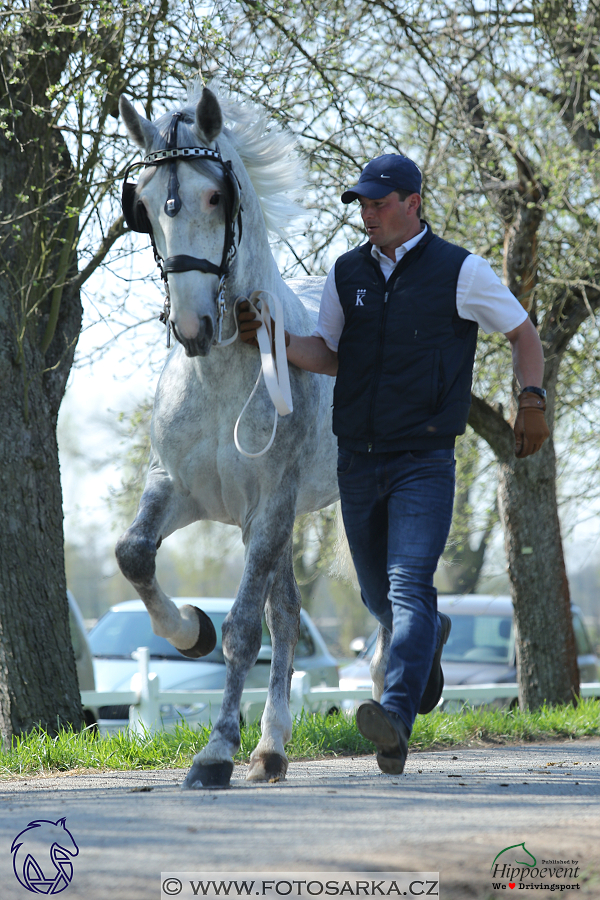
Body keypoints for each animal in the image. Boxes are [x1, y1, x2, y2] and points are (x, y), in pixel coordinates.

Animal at [116, 84, 342, 788]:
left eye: (216, 196)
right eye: (145, 204)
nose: (190, 325)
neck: (219, 376)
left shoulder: (270, 503)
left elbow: (244, 629)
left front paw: (215, 752)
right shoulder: (179, 489)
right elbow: (134, 555)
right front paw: (190, 630)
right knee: (288, 617)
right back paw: (271, 749)